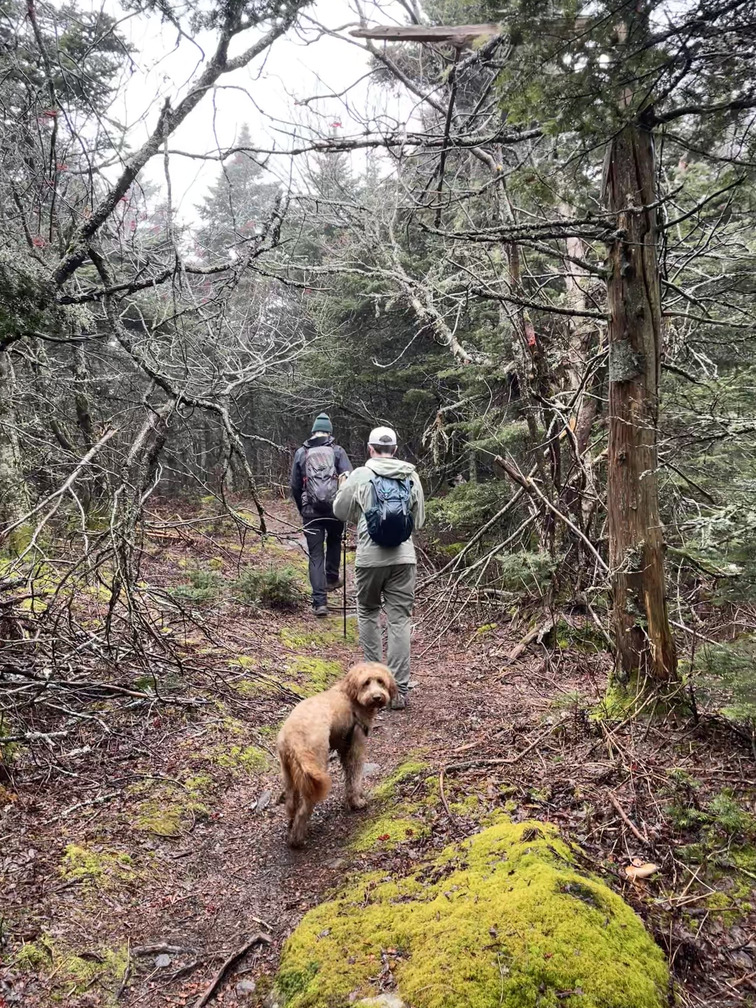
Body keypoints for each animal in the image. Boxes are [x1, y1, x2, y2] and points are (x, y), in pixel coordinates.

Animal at [276, 665, 397, 846]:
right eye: (366, 682)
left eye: (380, 681)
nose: (377, 697)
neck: (352, 697)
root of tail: (294, 737)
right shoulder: (356, 746)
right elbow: (355, 777)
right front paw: (357, 802)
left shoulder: (344, 748)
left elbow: (349, 777)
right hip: (316, 768)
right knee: (305, 807)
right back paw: (298, 840)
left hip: (289, 772)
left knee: (291, 803)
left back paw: (291, 827)